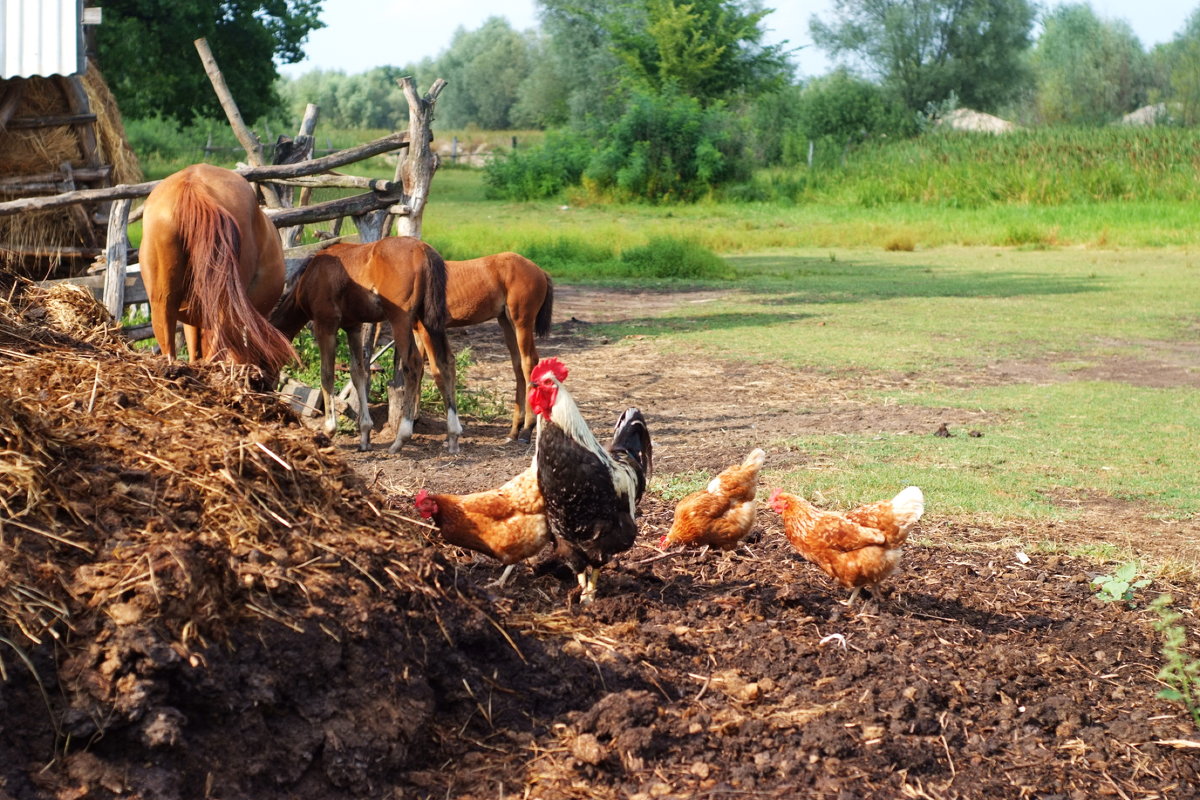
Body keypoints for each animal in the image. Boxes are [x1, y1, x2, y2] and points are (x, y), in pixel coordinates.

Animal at [273, 235, 463, 453]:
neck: (311, 275)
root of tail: (424, 250)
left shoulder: (325, 325)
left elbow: (327, 374)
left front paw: (329, 429)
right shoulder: (353, 327)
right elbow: (358, 373)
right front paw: (364, 434)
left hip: (401, 319)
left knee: (413, 364)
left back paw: (401, 438)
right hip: (429, 321)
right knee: (446, 362)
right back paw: (453, 435)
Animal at [415, 253, 554, 441]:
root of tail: (540, 271)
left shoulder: (426, 330)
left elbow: (436, 371)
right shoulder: (416, 330)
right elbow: (417, 370)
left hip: (522, 322)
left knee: (529, 362)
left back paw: (527, 429)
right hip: (506, 321)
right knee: (517, 365)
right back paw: (514, 430)